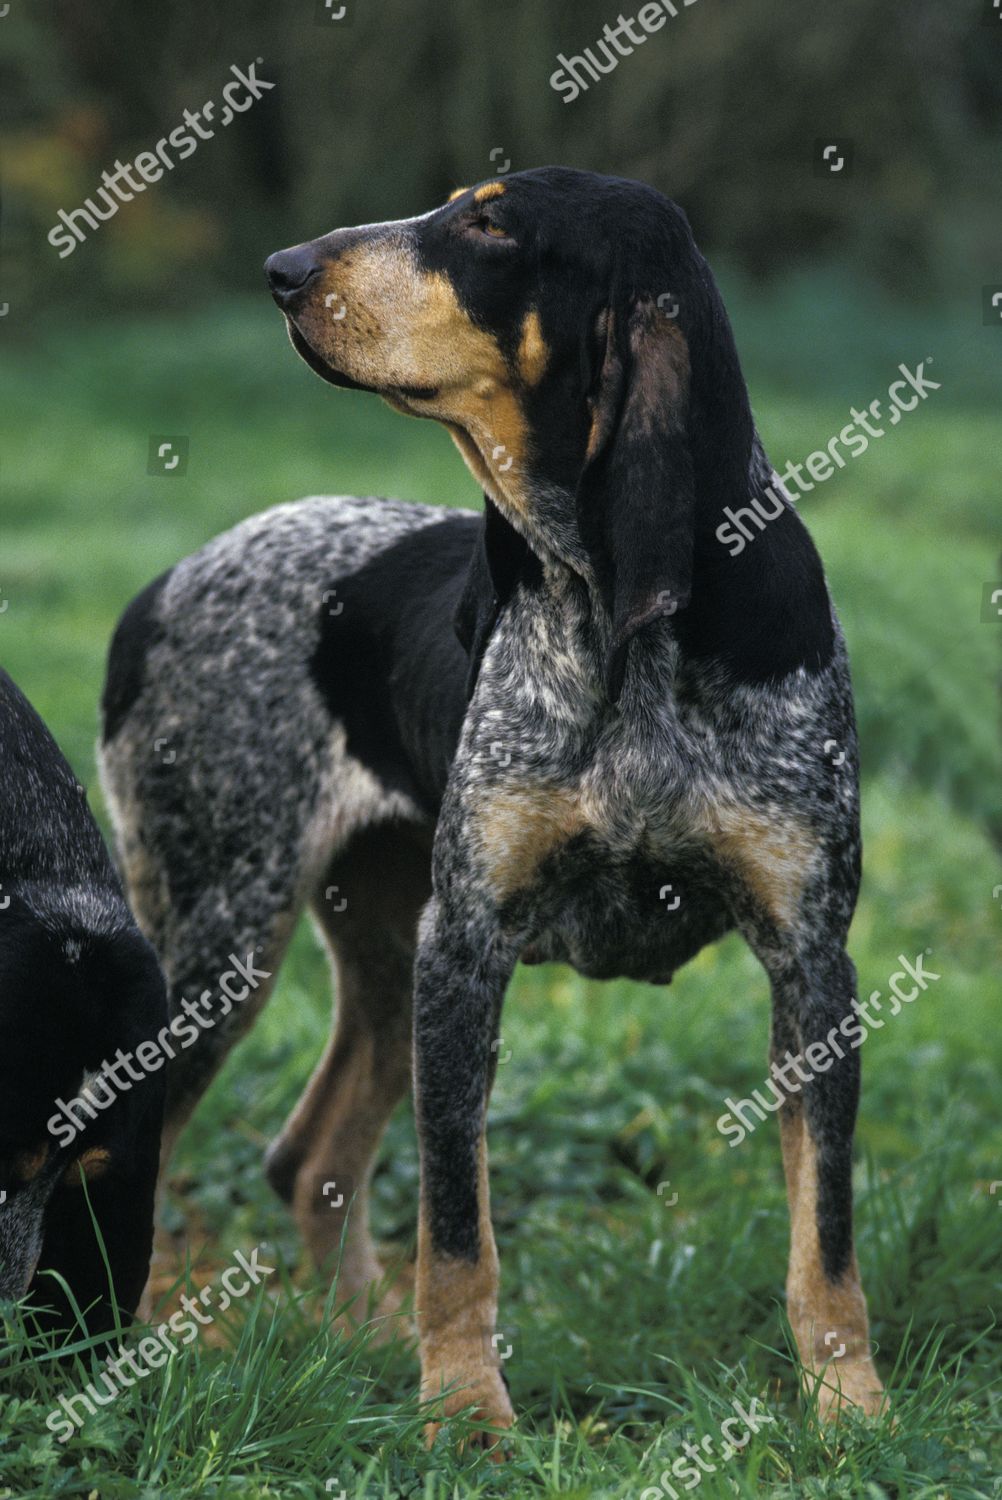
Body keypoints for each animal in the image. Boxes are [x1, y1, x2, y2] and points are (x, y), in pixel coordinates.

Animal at [99, 167, 882, 1440]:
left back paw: (358, 1343)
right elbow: (458, 1231)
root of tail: (160, 585)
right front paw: (466, 1415)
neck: (623, 623)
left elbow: (827, 1234)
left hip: (372, 955)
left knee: (306, 1156)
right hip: (224, 947)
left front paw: (848, 1405)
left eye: (490, 223)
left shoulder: (813, 962)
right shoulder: (466, 950)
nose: (280, 269)